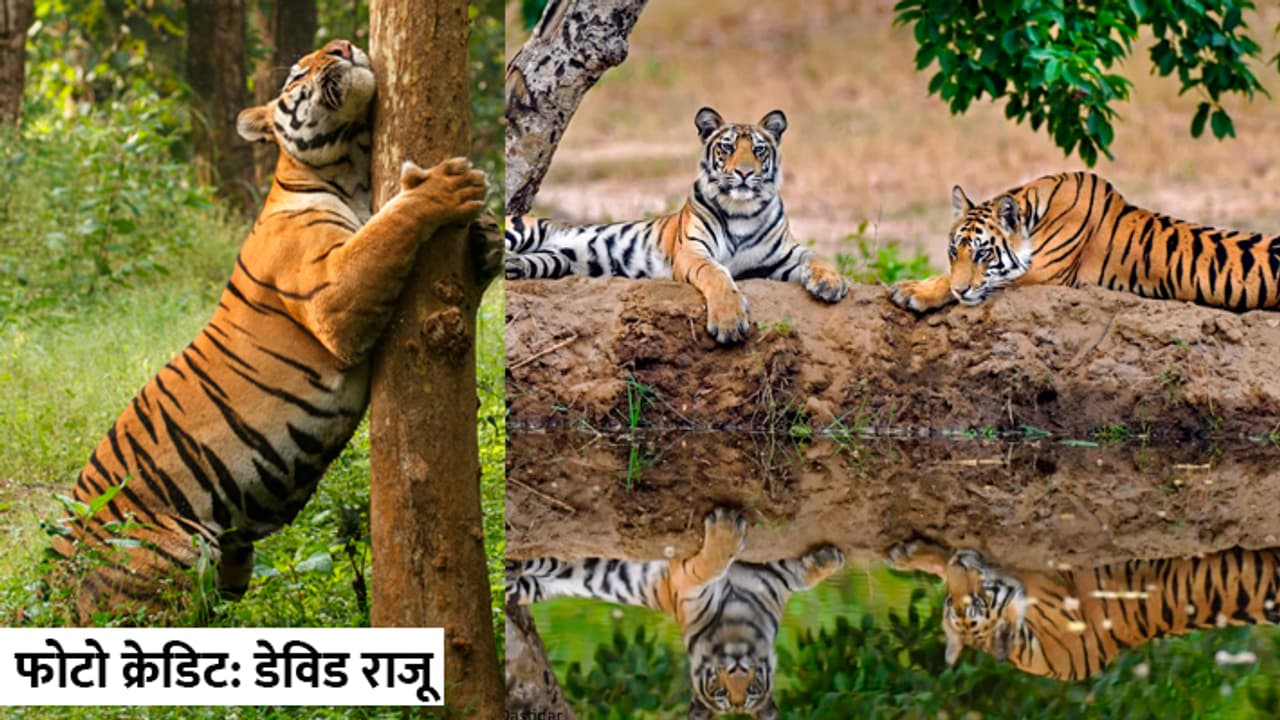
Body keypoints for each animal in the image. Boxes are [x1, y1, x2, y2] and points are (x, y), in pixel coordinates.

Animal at [49, 38, 497, 623]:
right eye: (298, 73)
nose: (342, 45)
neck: (351, 170)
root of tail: (54, 570)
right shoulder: (334, 295)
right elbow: (391, 225)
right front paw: (446, 186)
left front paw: (490, 235)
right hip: (172, 553)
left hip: (232, 564)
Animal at [504, 107, 849, 344]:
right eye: (727, 147)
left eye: (758, 149)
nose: (745, 173)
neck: (741, 211)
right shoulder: (693, 252)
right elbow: (717, 275)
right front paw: (728, 320)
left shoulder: (780, 256)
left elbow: (814, 255)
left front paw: (831, 283)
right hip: (523, 229)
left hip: (556, 258)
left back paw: (513, 266)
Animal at [506, 507, 846, 718]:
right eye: (720, 692)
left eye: (751, 691)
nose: (737, 672)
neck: (737, 623)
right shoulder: (687, 582)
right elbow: (712, 564)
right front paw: (726, 529)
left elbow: (795, 576)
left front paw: (827, 559)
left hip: (543, 578)